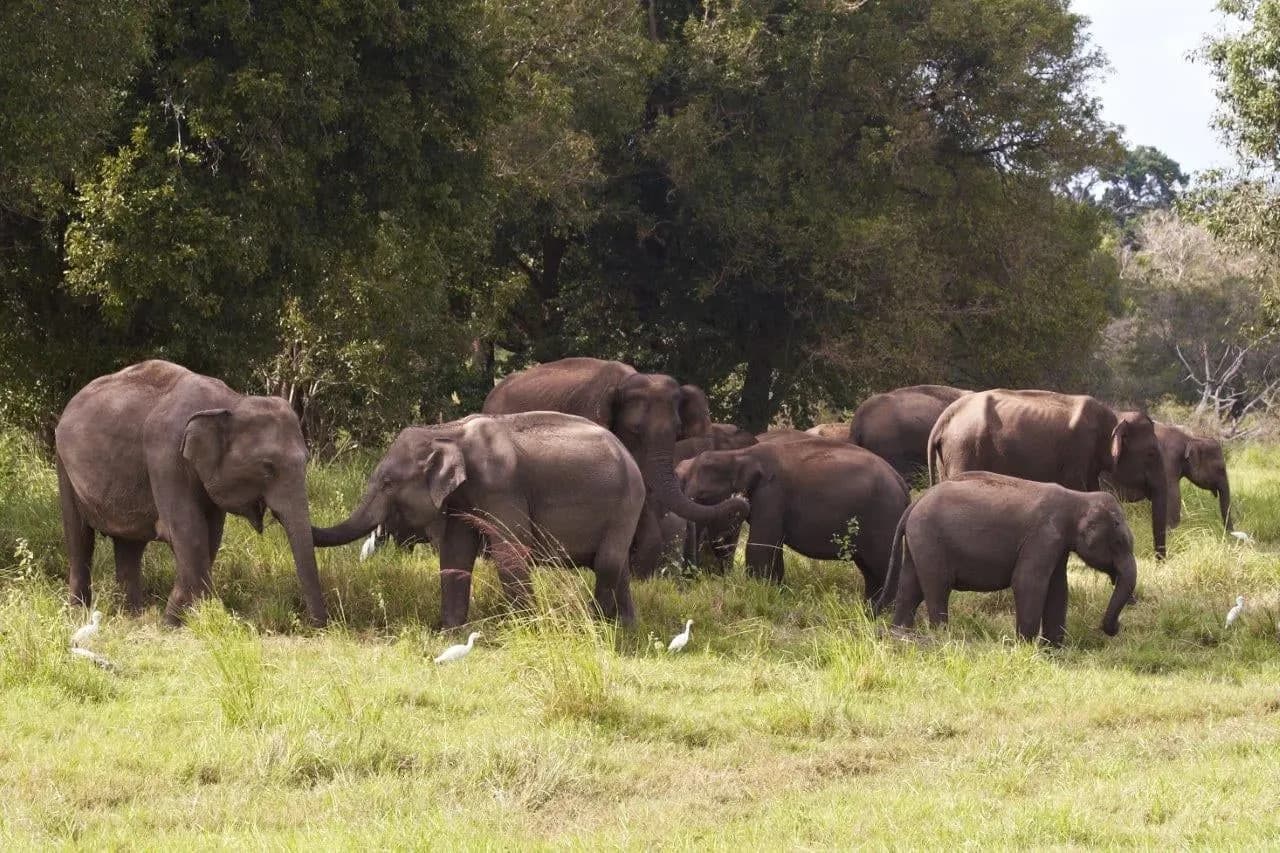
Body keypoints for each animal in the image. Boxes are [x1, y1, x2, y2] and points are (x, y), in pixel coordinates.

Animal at [54, 360, 327, 626]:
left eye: (306, 460)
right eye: (267, 467)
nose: (316, 626)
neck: (231, 401)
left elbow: (211, 536)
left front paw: (186, 618)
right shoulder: (165, 457)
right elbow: (189, 533)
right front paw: (172, 623)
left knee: (129, 545)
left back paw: (132, 617)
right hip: (64, 467)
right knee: (79, 537)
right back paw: (79, 614)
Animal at [311, 412, 646, 628]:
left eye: (388, 484)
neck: (448, 432)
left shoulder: (501, 487)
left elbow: (510, 549)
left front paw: (525, 628)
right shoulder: (462, 498)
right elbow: (456, 552)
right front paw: (450, 630)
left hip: (626, 505)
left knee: (607, 563)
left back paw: (599, 625)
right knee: (617, 566)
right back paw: (626, 627)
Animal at [677, 438, 911, 604]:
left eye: (703, 496)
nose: (740, 498)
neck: (739, 455)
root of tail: (902, 484)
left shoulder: (772, 494)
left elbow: (760, 547)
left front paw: (758, 593)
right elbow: (774, 549)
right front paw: (775, 592)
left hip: (885, 519)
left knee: (883, 567)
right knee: (871, 571)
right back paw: (869, 610)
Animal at [884, 472, 1138, 645]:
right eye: (1118, 544)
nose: (1117, 627)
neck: (1078, 499)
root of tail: (914, 504)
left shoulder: (1058, 545)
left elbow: (1058, 589)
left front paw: (1053, 651)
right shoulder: (1043, 537)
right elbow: (1028, 583)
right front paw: (1025, 647)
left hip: (919, 540)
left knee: (910, 588)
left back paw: (899, 635)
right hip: (930, 540)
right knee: (938, 587)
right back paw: (942, 639)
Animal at [928, 390, 1169, 559]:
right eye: (1151, 453)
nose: (1160, 560)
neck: (1115, 416)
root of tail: (942, 420)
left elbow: (1092, 490)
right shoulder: (1078, 451)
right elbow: (1078, 490)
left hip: (948, 456)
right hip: (963, 449)